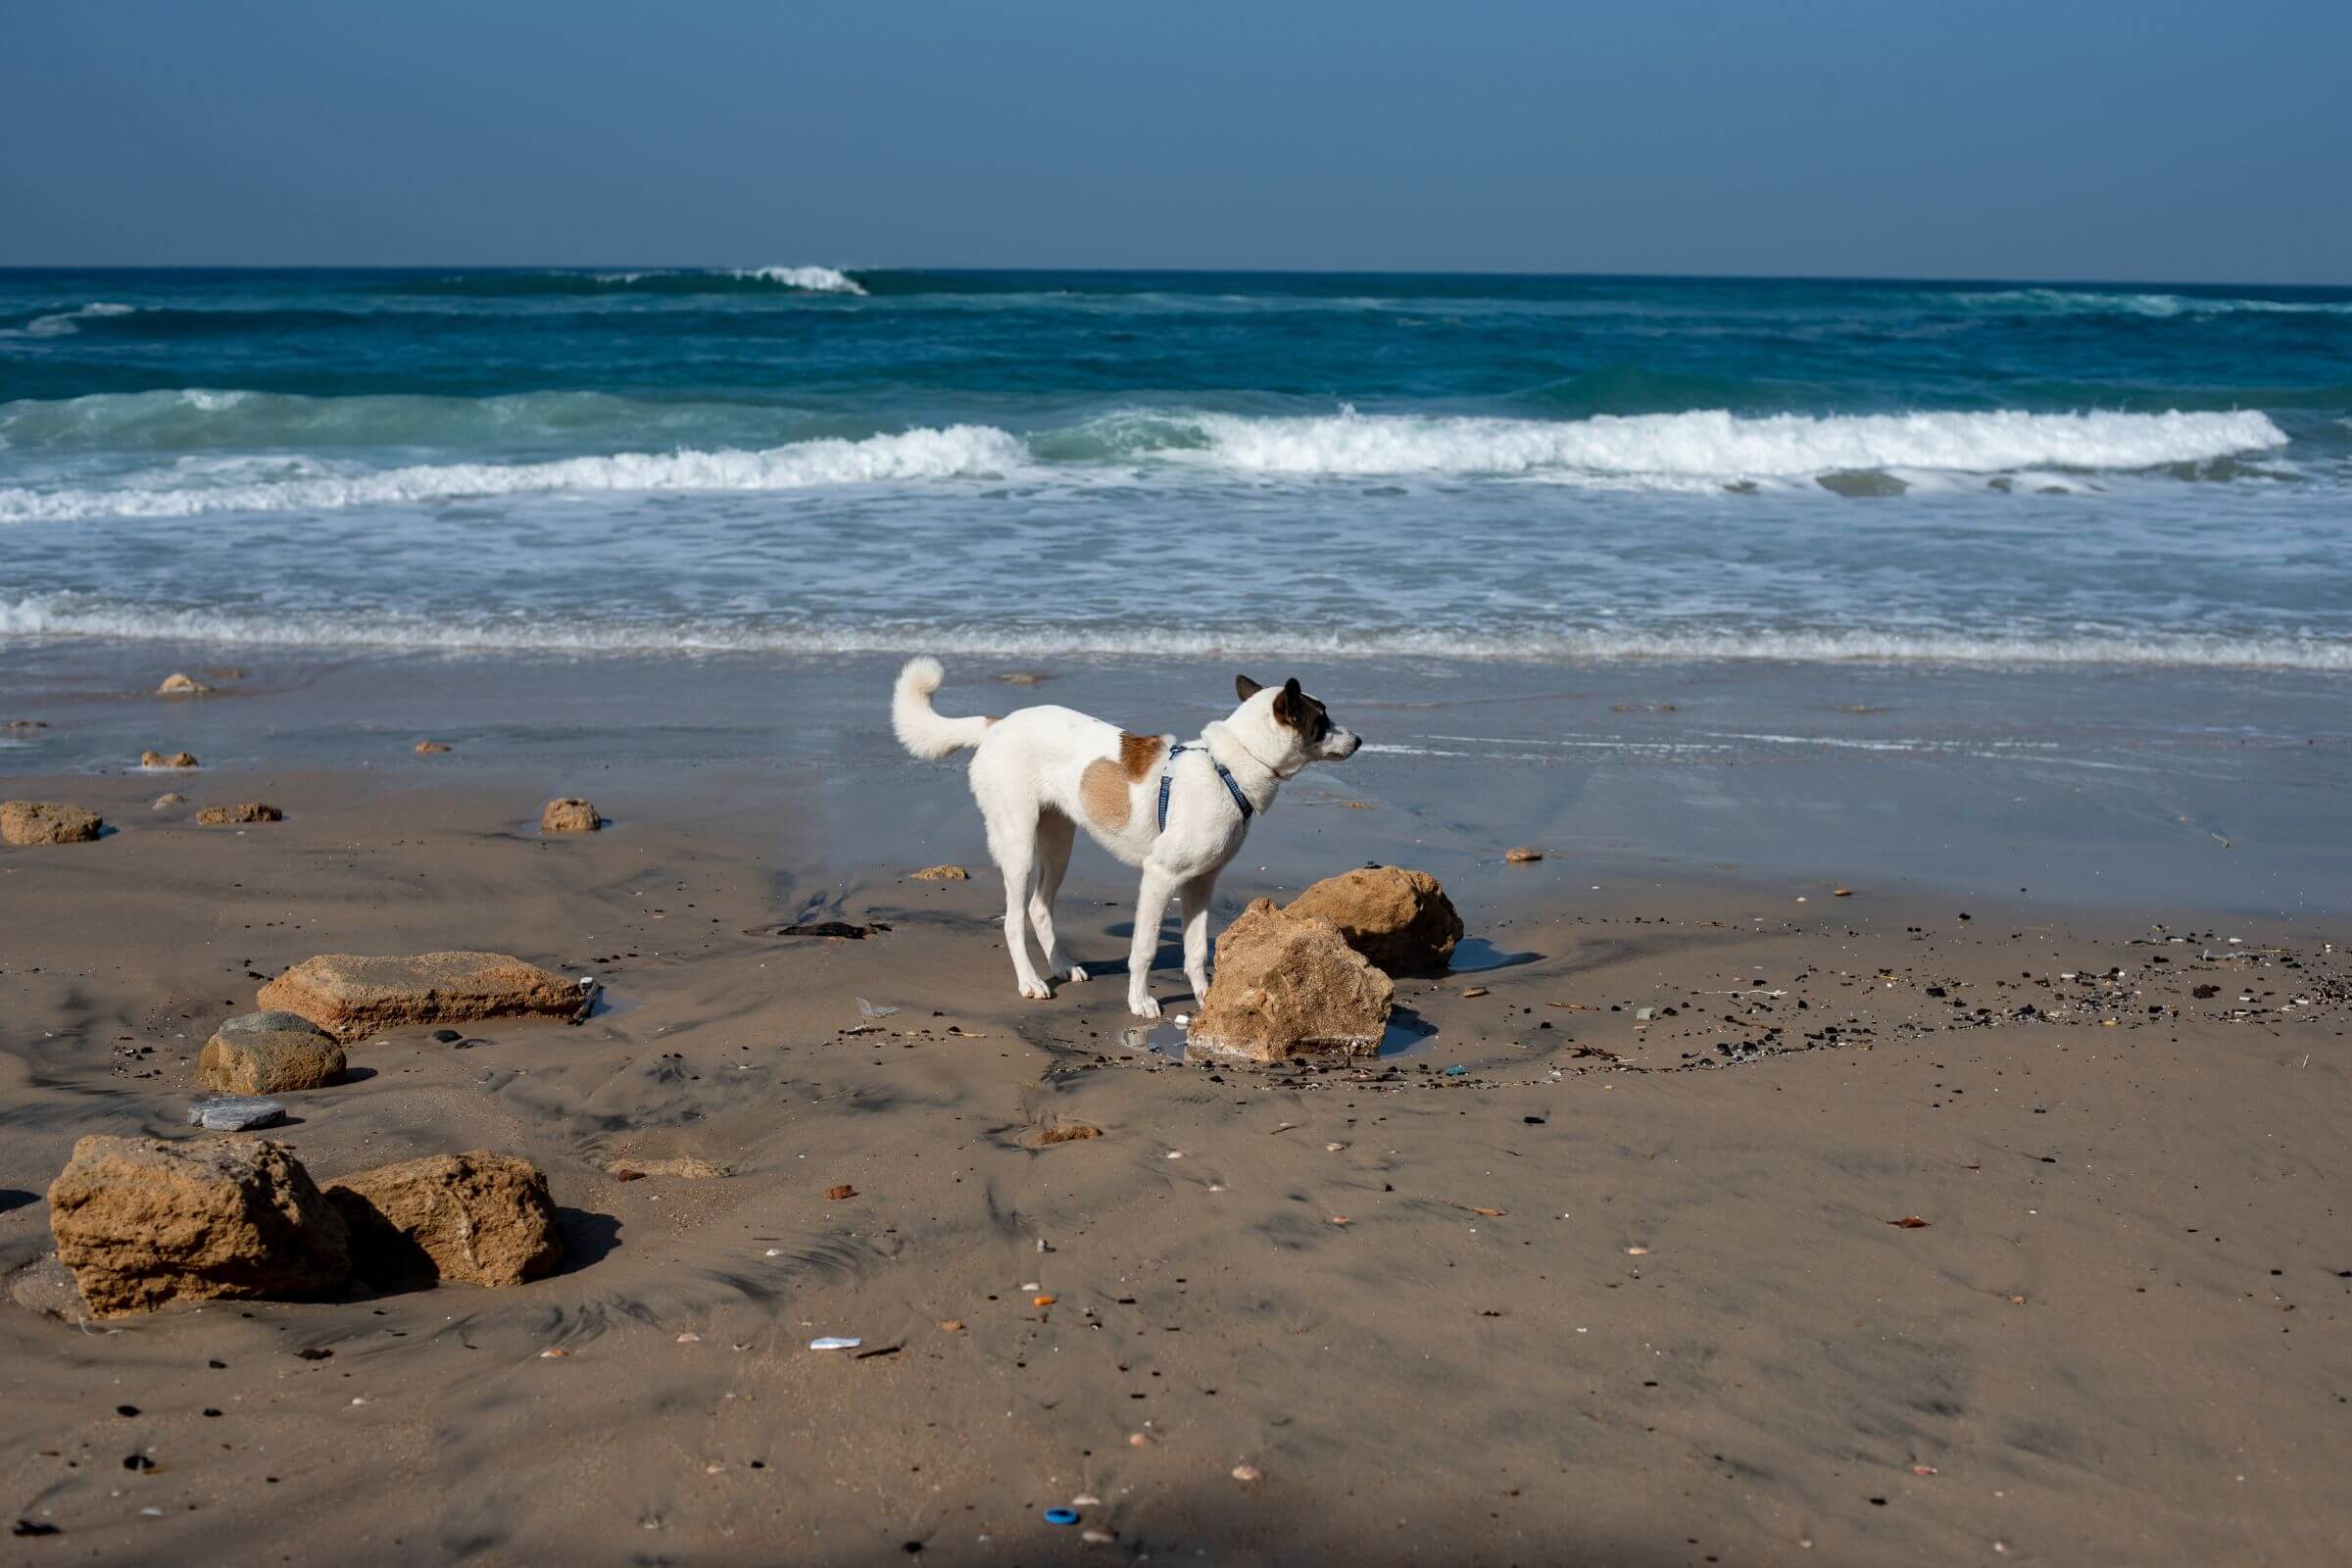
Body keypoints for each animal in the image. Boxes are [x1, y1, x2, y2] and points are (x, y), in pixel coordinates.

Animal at [889, 653, 1364, 1010]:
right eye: (1322, 719)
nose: (1359, 740)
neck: (1228, 767)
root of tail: (997, 724)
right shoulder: (1159, 878)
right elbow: (1145, 949)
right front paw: (1140, 1002)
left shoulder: (1201, 884)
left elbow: (1196, 951)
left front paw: (1206, 997)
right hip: (1019, 847)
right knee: (1013, 920)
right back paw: (1031, 981)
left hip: (1059, 846)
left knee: (1040, 909)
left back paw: (1062, 966)